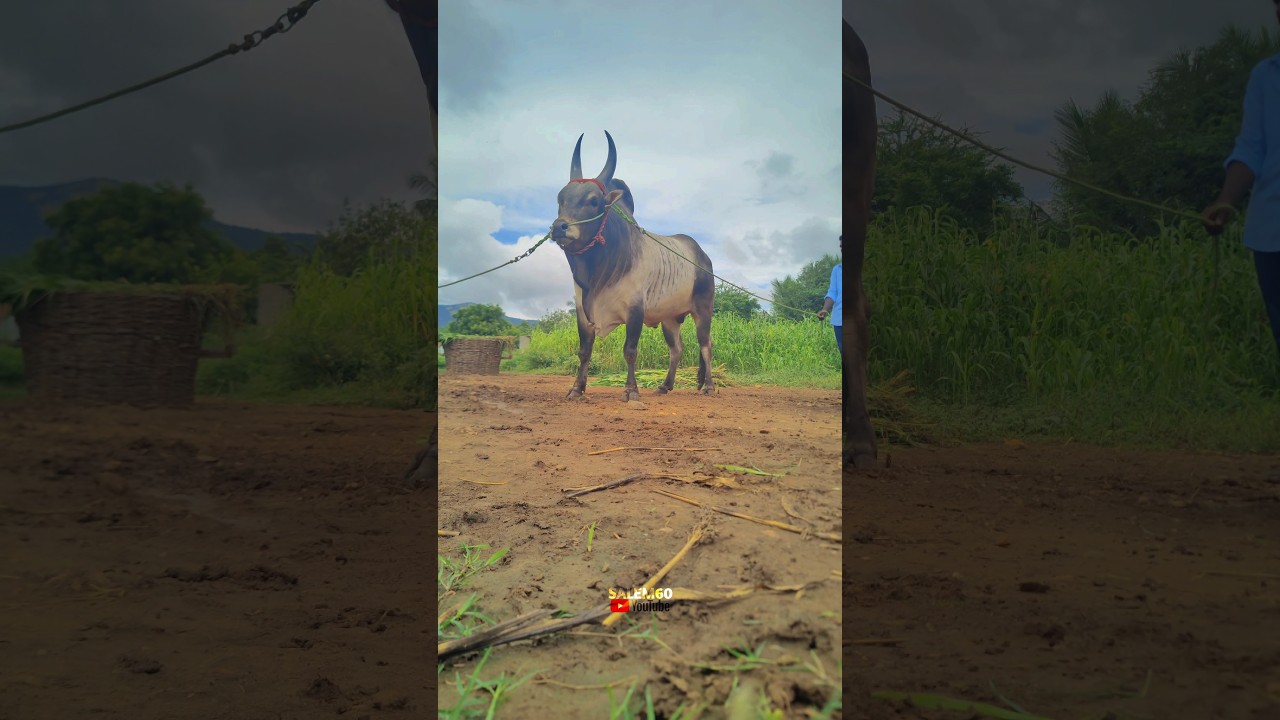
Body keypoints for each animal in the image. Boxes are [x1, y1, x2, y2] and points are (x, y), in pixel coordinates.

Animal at [551, 131, 717, 403]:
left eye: (593, 201)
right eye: (560, 200)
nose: (559, 227)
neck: (597, 273)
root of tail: (703, 257)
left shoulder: (635, 309)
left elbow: (630, 350)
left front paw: (631, 391)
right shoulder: (583, 312)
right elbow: (584, 351)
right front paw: (577, 389)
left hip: (703, 310)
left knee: (706, 345)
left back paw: (709, 386)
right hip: (670, 318)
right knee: (677, 349)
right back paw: (665, 385)